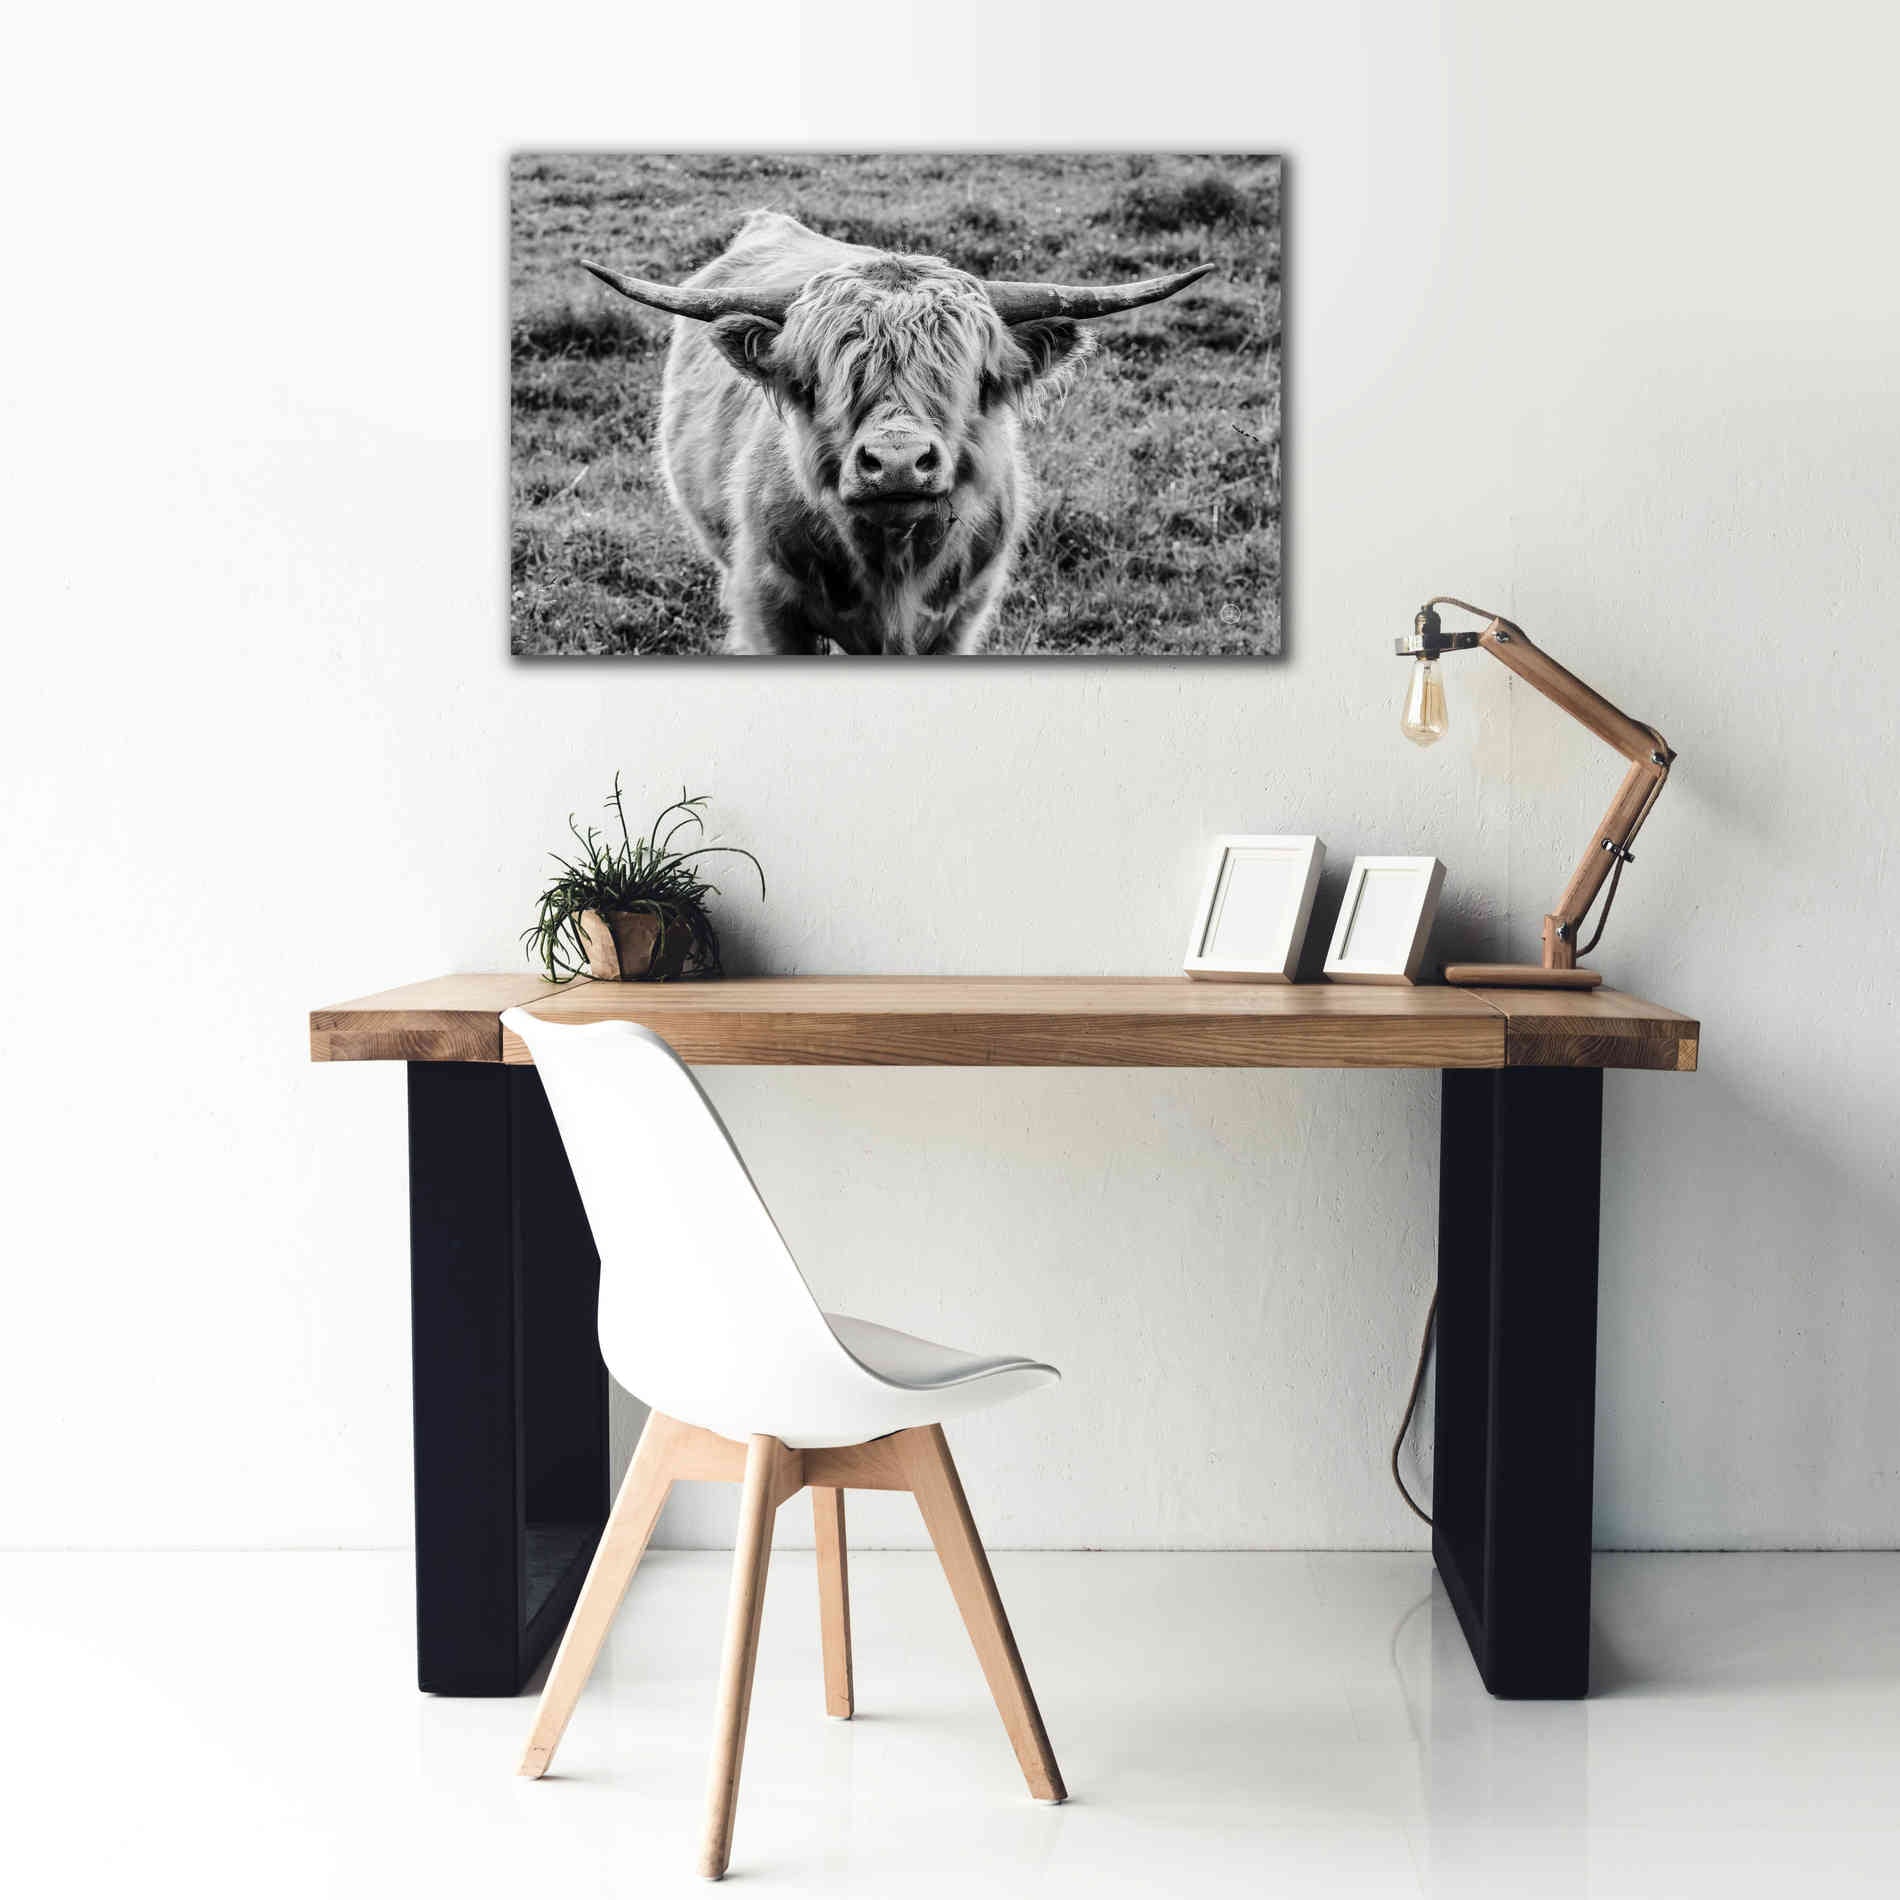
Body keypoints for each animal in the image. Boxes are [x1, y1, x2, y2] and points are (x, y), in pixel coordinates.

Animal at [581, 211, 1211, 655]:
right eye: (821, 378)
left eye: (972, 377)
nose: (899, 462)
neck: (893, 566)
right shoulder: (768, 607)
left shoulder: (962, 616)